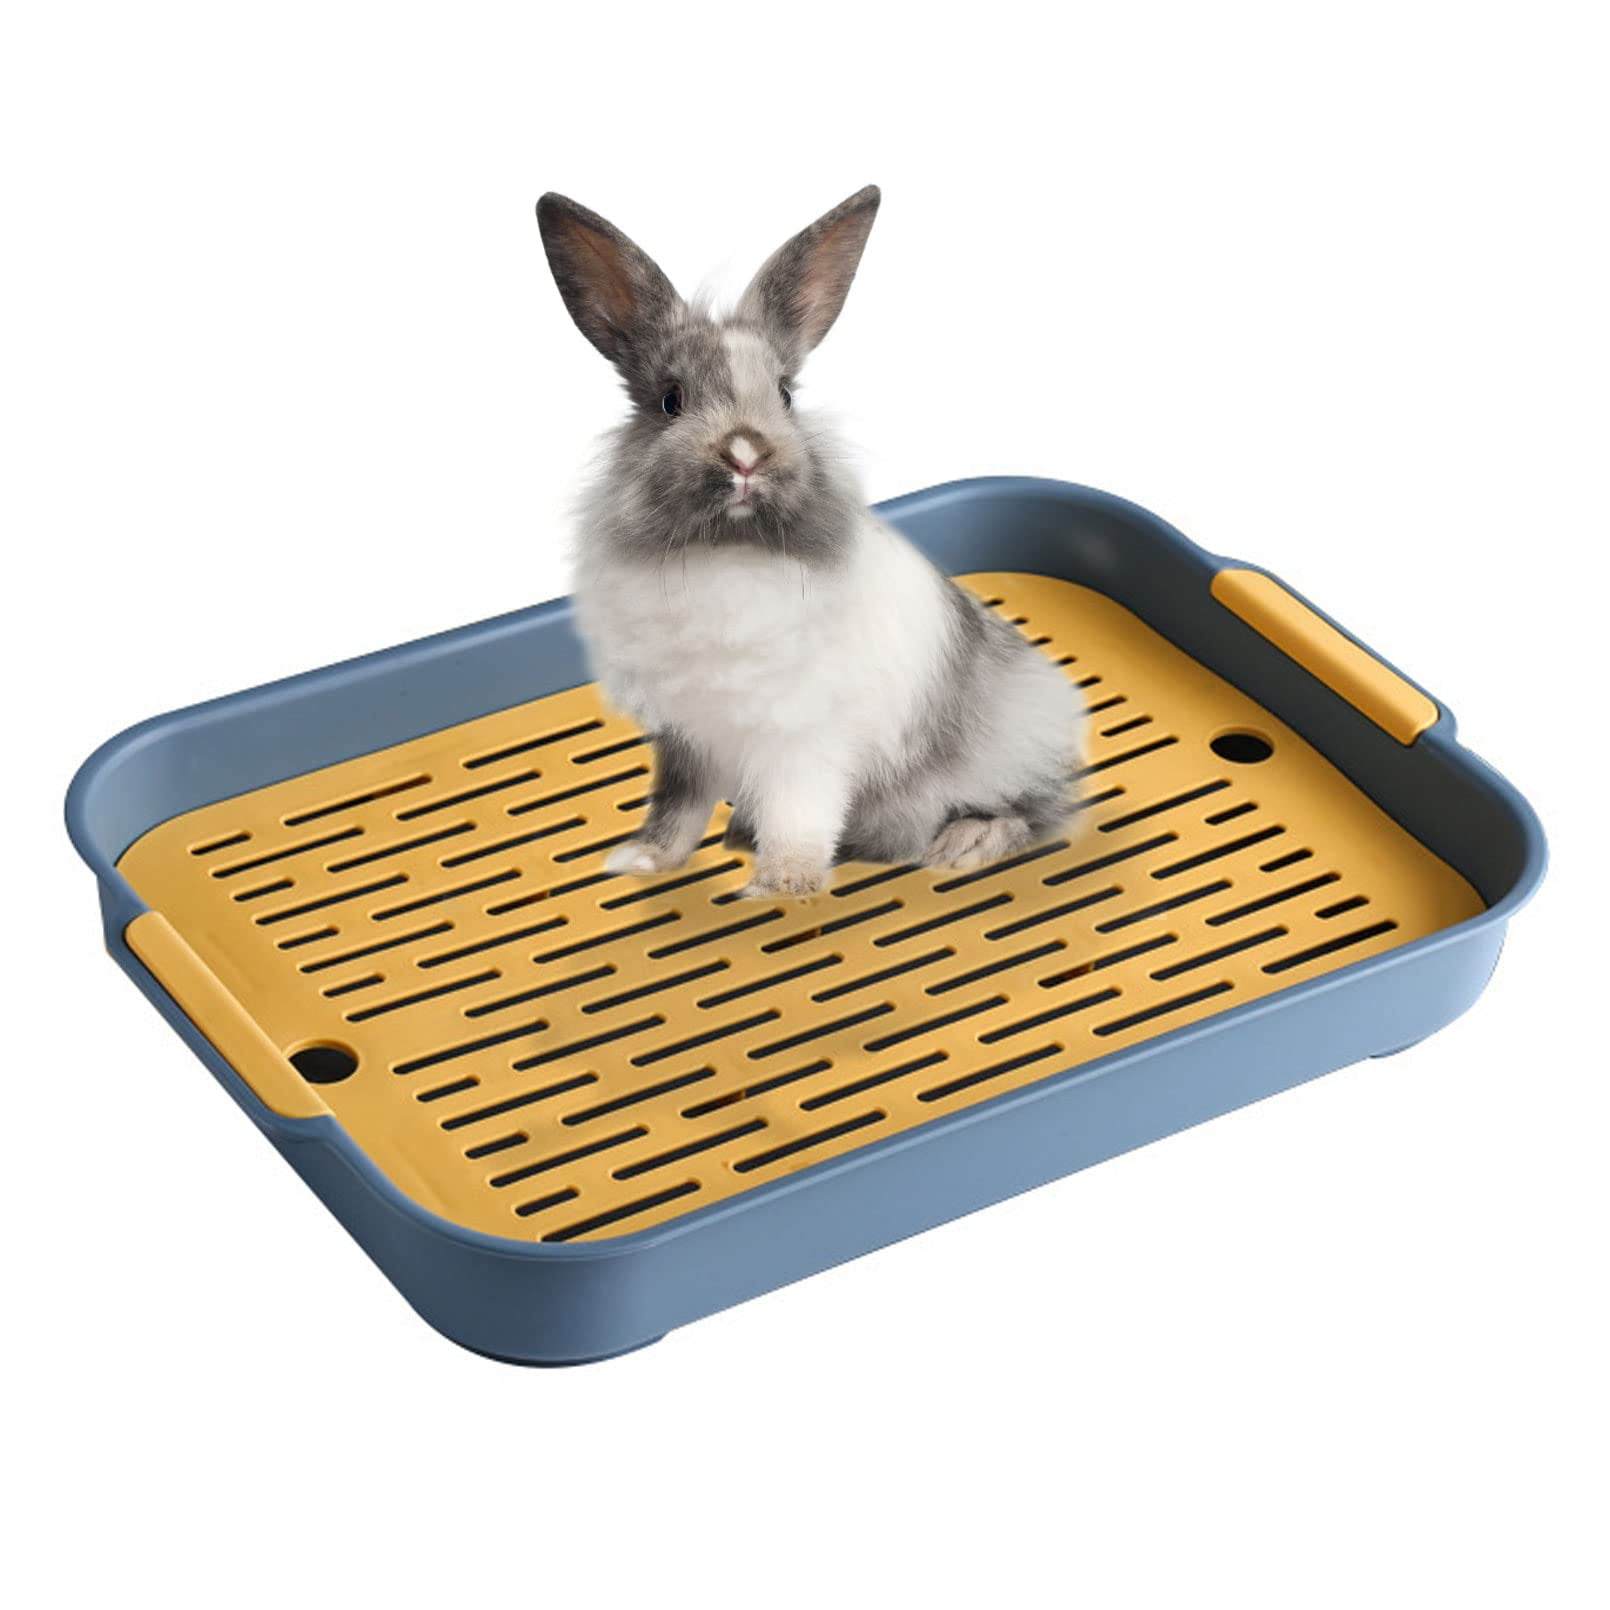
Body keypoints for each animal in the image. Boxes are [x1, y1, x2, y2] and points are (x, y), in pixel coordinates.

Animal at [536, 184, 1083, 900]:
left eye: (785, 395)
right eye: (670, 400)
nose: (745, 453)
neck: (729, 553)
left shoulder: (803, 740)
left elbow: (799, 814)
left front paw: (781, 886)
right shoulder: (689, 735)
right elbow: (678, 805)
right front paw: (644, 860)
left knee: (1035, 811)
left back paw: (961, 845)